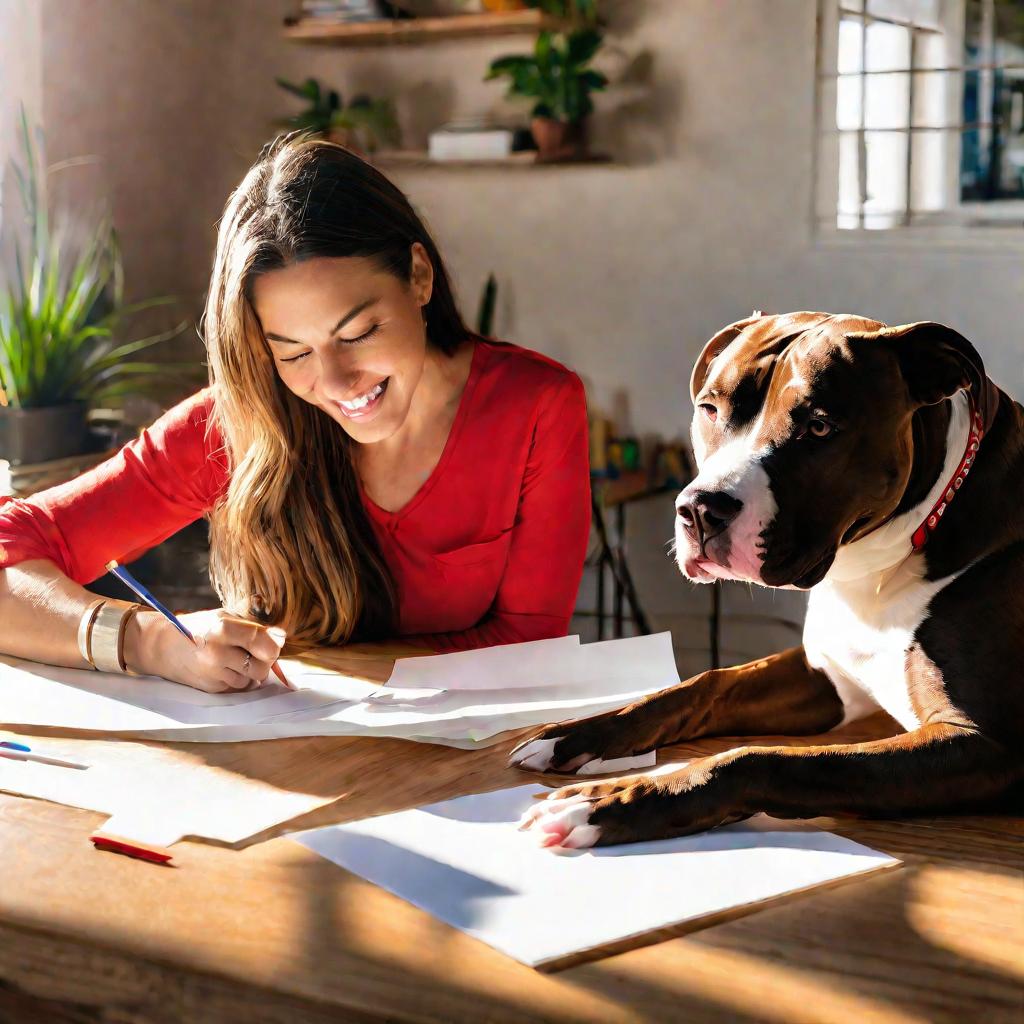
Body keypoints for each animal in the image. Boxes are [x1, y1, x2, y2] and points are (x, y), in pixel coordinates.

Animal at [509, 309, 1024, 847]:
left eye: (819, 426)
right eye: (709, 409)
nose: (700, 511)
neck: (877, 568)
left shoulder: (982, 744)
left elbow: (762, 759)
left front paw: (608, 801)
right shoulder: (824, 678)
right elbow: (702, 684)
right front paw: (573, 733)